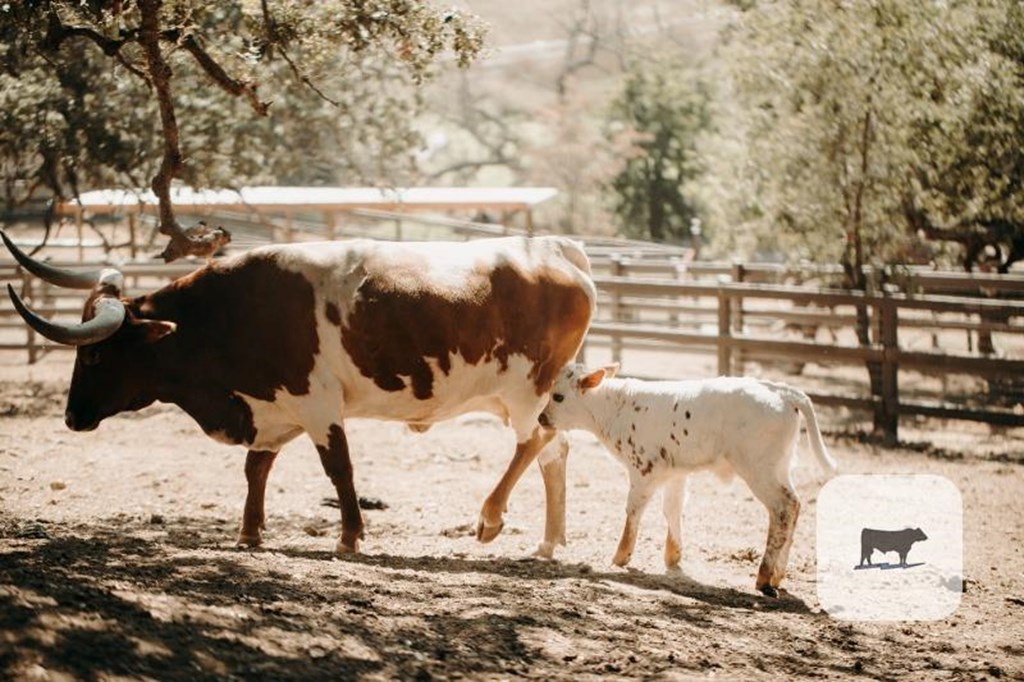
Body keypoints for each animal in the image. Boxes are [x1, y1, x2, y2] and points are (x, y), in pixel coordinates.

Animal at [2, 231, 593, 557]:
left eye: (94, 355)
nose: (72, 417)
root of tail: (552, 248)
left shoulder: (317, 404)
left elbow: (339, 469)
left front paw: (349, 536)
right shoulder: (270, 408)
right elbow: (256, 468)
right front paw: (248, 532)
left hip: (527, 390)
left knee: (534, 443)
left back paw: (490, 518)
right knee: (556, 452)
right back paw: (548, 543)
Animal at [540, 364, 835, 593]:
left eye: (558, 396)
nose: (541, 418)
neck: (616, 407)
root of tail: (783, 391)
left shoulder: (642, 470)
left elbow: (634, 510)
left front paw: (620, 556)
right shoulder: (675, 472)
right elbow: (672, 508)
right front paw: (673, 556)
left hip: (759, 469)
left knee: (783, 509)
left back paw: (764, 577)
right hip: (780, 467)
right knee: (795, 505)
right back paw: (777, 575)